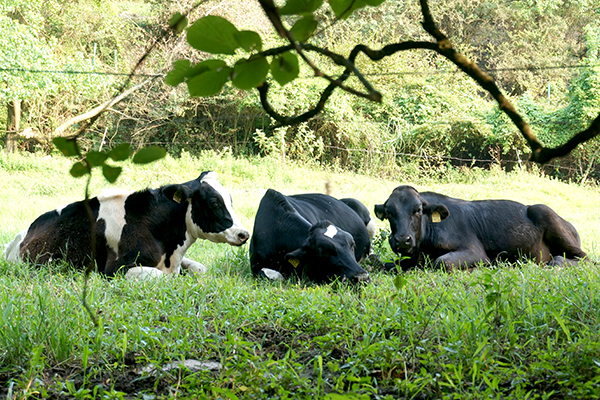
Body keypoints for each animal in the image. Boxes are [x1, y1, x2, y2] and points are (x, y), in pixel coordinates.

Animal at [4, 171, 248, 278]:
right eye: (214, 202)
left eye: (231, 199)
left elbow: (200, 268)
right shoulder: (116, 269)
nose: (243, 233)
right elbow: (162, 278)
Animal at [376, 186, 584, 270]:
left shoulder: (476, 251)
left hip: (545, 213)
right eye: (389, 212)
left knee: (584, 259)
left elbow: (442, 262)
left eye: (418, 210)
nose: (402, 240)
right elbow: (388, 265)